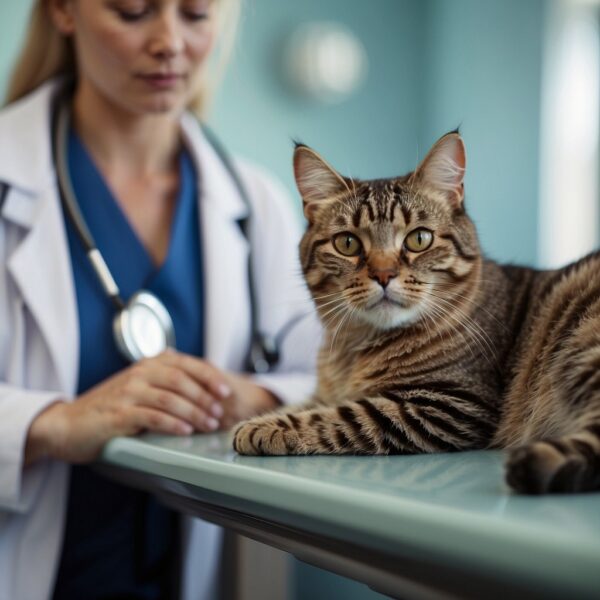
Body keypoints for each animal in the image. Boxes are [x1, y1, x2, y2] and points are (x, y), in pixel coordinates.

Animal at [231, 130, 600, 492]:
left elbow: (342, 415)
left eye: (419, 239)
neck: (352, 349)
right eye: (347, 243)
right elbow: (307, 403)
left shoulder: (449, 403)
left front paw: (262, 427)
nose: (383, 275)